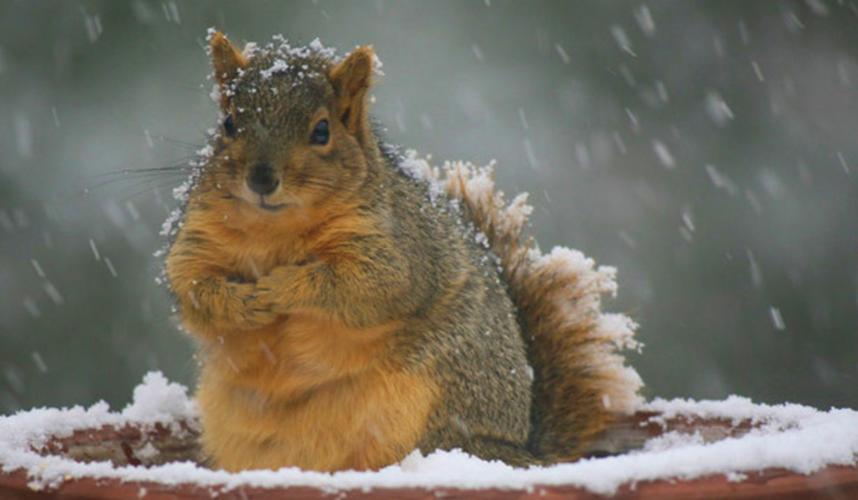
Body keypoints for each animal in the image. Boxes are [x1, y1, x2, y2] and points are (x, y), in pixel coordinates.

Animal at [164, 31, 643, 472]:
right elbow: (191, 288)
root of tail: (522, 449)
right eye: (228, 123)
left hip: (432, 407)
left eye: (322, 130)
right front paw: (239, 303)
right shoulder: (196, 239)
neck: (275, 230)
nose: (262, 179)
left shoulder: (399, 245)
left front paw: (283, 286)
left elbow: (369, 285)